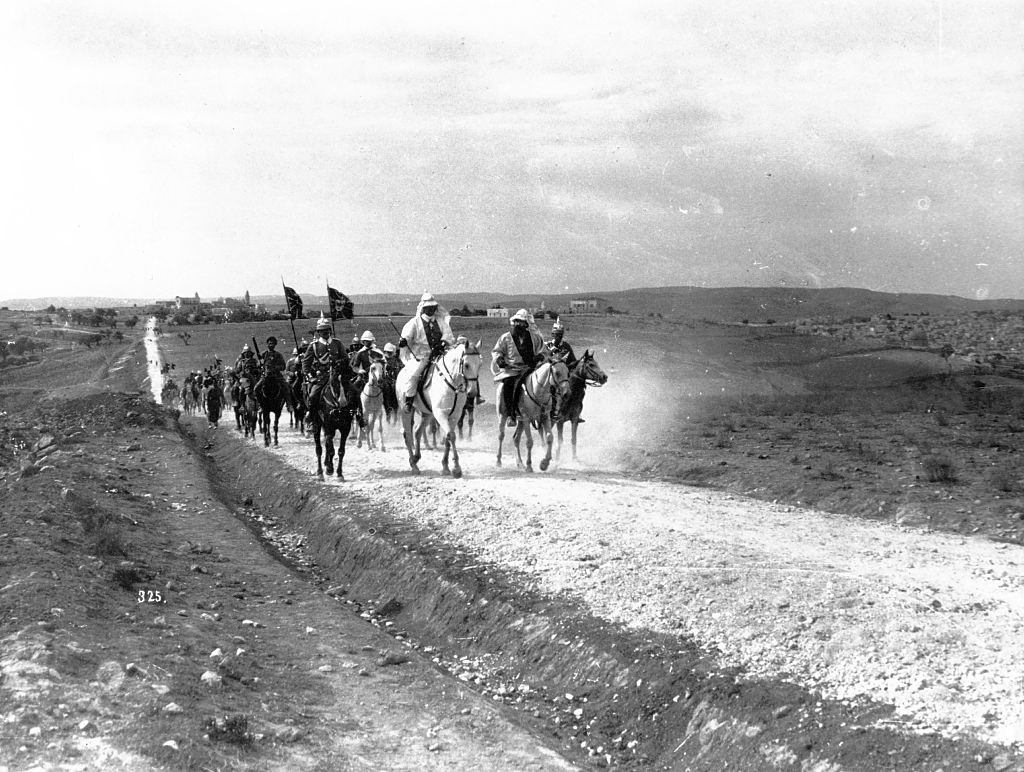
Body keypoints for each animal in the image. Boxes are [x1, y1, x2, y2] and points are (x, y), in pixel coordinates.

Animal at [397, 341, 481, 479]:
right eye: (467, 365)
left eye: (480, 364)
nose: (473, 392)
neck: (452, 383)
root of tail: (403, 371)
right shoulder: (441, 414)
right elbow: (451, 435)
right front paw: (456, 469)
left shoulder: (455, 415)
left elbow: (447, 438)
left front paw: (445, 466)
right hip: (405, 411)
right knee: (407, 434)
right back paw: (414, 466)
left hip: (426, 413)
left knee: (417, 431)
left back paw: (415, 458)